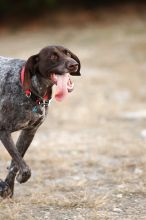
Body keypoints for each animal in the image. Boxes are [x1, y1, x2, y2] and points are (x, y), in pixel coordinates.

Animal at [0, 45, 81, 198]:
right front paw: (14, 181)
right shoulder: (3, 132)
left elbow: (16, 162)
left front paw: (8, 188)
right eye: (53, 56)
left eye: (67, 53)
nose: (74, 65)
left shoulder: (29, 132)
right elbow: (21, 163)